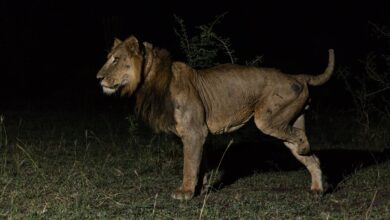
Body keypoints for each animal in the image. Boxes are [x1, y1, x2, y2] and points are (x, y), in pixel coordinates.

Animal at [96, 35, 336, 200]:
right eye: (108, 58)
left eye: (116, 60)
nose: (98, 78)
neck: (150, 80)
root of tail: (296, 76)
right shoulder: (199, 134)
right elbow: (199, 163)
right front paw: (199, 189)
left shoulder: (194, 132)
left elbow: (189, 164)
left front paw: (184, 192)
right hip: (288, 121)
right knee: (313, 158)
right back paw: (317, 190)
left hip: (267, 120)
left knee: (300, 139)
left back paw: (305, 150)